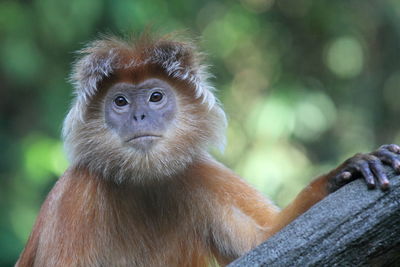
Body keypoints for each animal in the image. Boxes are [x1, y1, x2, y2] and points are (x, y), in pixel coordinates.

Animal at [17, 34, 400, 267]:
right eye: (121, 102)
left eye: (155, 97)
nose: (140, 116)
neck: (143, 182)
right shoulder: (75, 193)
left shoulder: (199, 173)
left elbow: (264, 239)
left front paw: (345, 172)